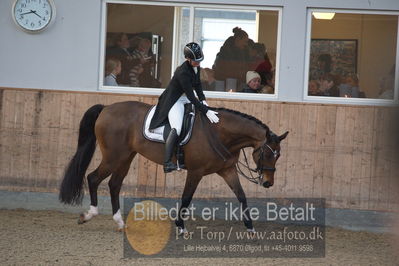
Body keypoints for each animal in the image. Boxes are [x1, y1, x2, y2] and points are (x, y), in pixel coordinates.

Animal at [59, 102, 290, 233]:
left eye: (279, 156)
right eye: (268, 153)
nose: (268, 183)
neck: (220, 133)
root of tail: (106, 108)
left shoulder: (227, 170)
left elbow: (241, 196)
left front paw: (250, 227)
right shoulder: (196, 172)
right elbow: (186, 198)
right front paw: (180, 227)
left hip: (126, 157)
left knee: (114, 184)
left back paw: (120, 223)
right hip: (114, 157)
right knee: (93, 178)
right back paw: (89, 215)